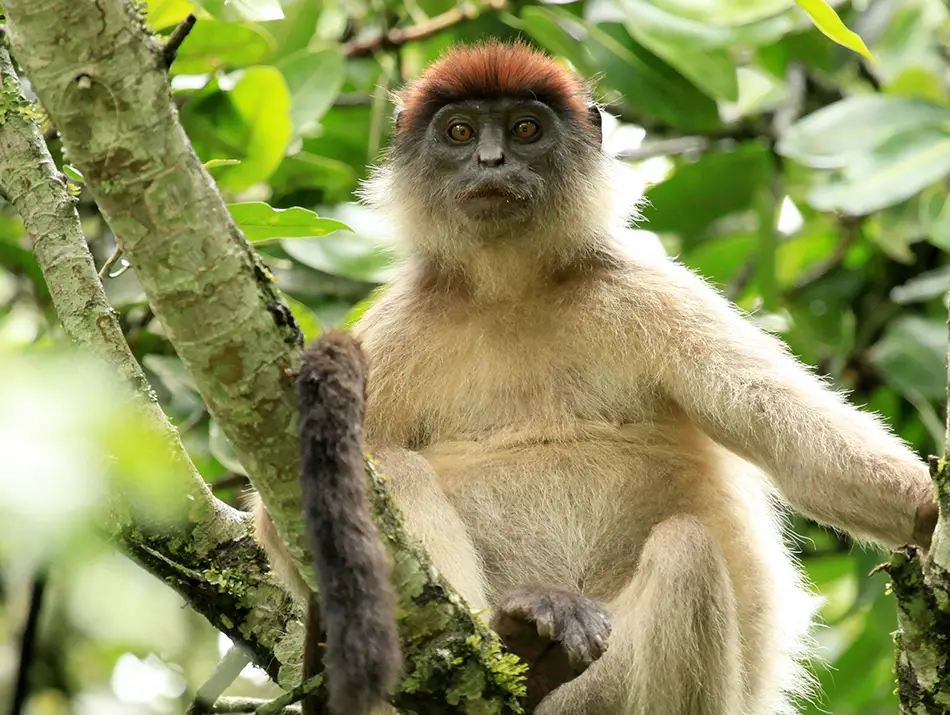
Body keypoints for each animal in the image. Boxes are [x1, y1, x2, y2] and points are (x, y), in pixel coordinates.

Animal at [251, 39, 939, 715]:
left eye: (526, 129)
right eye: (460, 131)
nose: (492, 159)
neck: (511, 290)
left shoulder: (646, 290)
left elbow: (794, 444)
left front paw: (928, 511)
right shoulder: (395, 329)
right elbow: (278, 522)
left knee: (687, 551)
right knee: (395, 466)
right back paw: (512, 648)